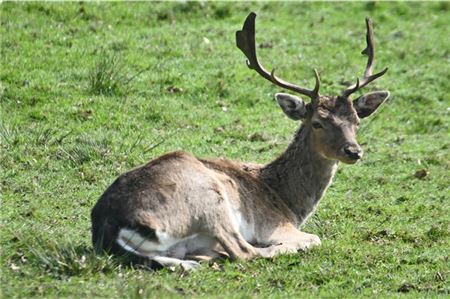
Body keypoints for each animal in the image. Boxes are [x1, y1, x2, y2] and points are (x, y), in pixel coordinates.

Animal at [91, 12, 390, 272]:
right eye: (317, 122)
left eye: (356, 121)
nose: (353, 151)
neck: (288, 201)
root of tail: (109, 226)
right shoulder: (275, 224)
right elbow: (313, 238)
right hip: (208, 200)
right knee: (244, 251)